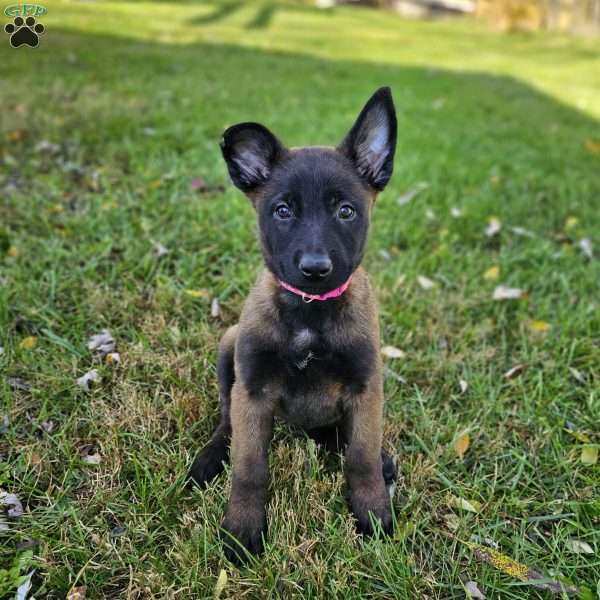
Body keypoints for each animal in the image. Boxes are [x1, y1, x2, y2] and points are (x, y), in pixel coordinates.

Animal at [191, 86, 398, 564]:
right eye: (282, 211)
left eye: (346, 211)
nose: (315, 269)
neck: (310, 312)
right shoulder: (252, 393)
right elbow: (249, 468)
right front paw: (242, 529)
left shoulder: (366, 388)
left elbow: (360, 456)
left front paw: (373, 512)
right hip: (229, 349)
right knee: (225, 420)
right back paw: (210, 456)